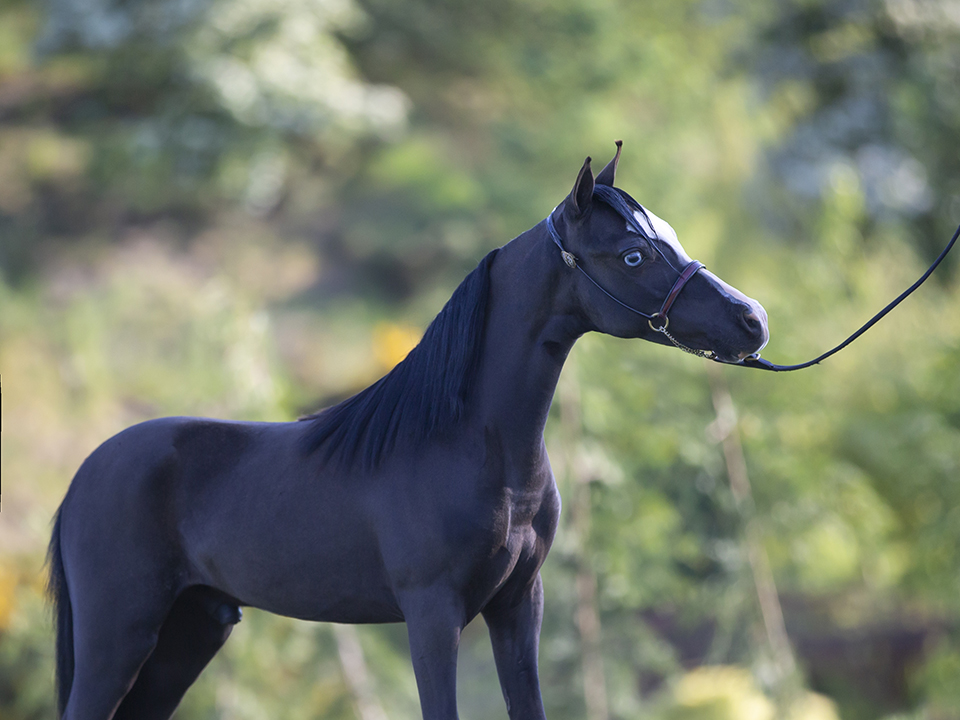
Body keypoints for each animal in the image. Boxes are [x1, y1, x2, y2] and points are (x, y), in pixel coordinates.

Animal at [47, 142, 769, 720]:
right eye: (633, 254)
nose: (753, 320)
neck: (476, 450)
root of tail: (86, 474)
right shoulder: (432, 614)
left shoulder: (518, 608)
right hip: (119, 638)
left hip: (189, 635)